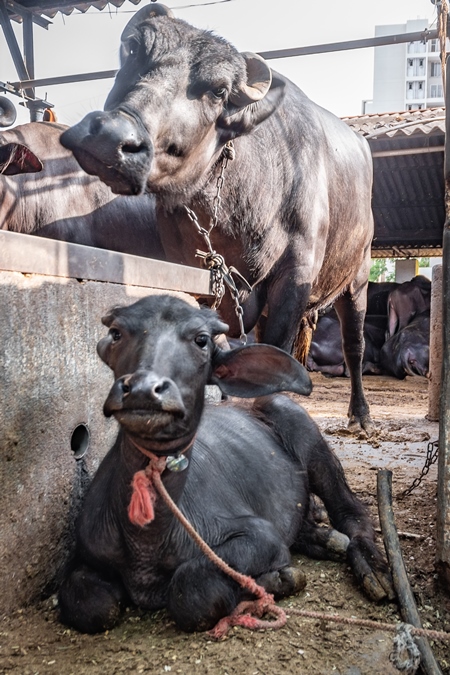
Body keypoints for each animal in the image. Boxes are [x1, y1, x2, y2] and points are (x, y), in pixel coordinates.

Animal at [58, 294, 392, 632]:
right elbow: (90, 605)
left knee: (352, 511)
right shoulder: (86, 554)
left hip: (304, 433)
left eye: (201, 340)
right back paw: (326, 540)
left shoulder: (261, 537)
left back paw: (372, 568)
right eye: (116, 333)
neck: (147, 541)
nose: (142, 390)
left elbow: (193, 592)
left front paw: (278, 580)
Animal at [60, 3, 376, 434]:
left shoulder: (294, 277)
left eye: (218, 91)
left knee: (353, 346)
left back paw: (360, 413)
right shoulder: (197, 277)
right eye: (134, 48)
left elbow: (274, 353)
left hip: (357, 278)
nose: (111, 137)